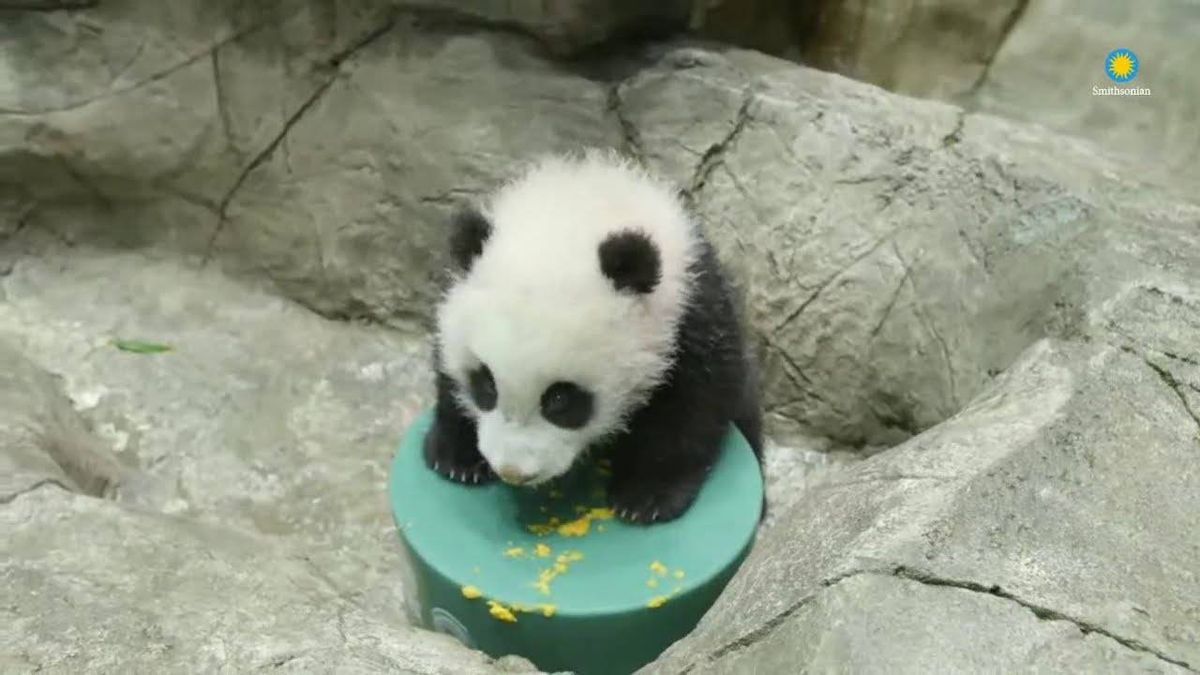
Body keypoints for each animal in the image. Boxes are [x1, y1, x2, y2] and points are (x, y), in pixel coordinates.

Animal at [423, 149, 762, 524]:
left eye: (560, 399)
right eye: (485, 384)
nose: (513, 471)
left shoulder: (691, 313)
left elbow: (694, 405)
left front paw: (646, 497)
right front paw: (457, 459)